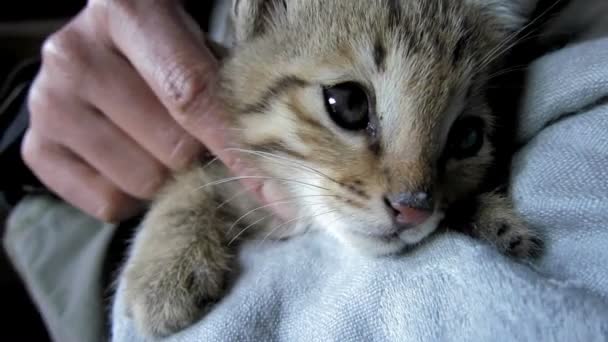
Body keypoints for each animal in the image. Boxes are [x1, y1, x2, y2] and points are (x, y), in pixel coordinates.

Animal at [119, 0, 540, 336]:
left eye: (467, 137)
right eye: (350, 103)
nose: (413, 209)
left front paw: (493, 219)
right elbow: (187, 182)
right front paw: (165, 271)